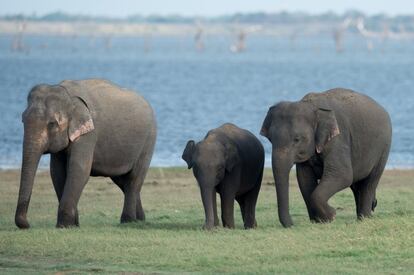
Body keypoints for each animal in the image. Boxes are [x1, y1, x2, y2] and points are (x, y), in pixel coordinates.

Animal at [15, 78, 156, 230]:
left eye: (52, 124)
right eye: (23, 120)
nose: (27, 225)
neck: (66, 93)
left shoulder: (89, 134)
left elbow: (79, 169)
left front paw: (65, 225)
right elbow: (57, 173)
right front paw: (74, 225)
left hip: (148, 142)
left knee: (133, 180)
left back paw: (128, 221)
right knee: (122, 180)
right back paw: (140, 220)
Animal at [260, 89, 392, 229]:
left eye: (297, 139)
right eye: (270, 139)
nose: (292, 224)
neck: (311, 105)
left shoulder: (338, 139)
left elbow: (342, 175)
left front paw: (331, 215)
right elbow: (304, 179)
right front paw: (319, 220)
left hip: (383, 149)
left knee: (369, 183)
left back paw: (364, 218)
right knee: (357, 185)